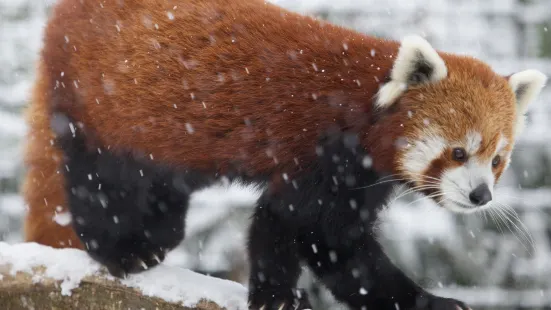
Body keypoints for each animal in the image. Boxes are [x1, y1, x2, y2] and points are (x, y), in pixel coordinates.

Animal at [22, 0, 548, 308]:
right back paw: (121, 249)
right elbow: (306, 229)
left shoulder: (355, 177)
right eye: (458, 152)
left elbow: (323, 243)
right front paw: (279, 296)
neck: (362, 111)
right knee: (101, 179)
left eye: (497, 160)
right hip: (103, 106)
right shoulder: (319, 154)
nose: (481, 195)